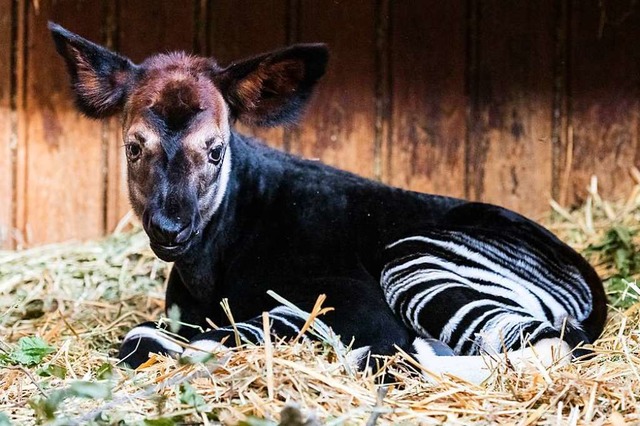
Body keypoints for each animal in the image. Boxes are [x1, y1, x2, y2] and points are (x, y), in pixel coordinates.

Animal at [51, 22, 604, 382]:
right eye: (134, 147)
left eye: (215, 149)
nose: (171, 229)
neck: (211, 265)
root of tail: (589, 285)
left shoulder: (355, 302)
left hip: (414, 258)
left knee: (539, 345)